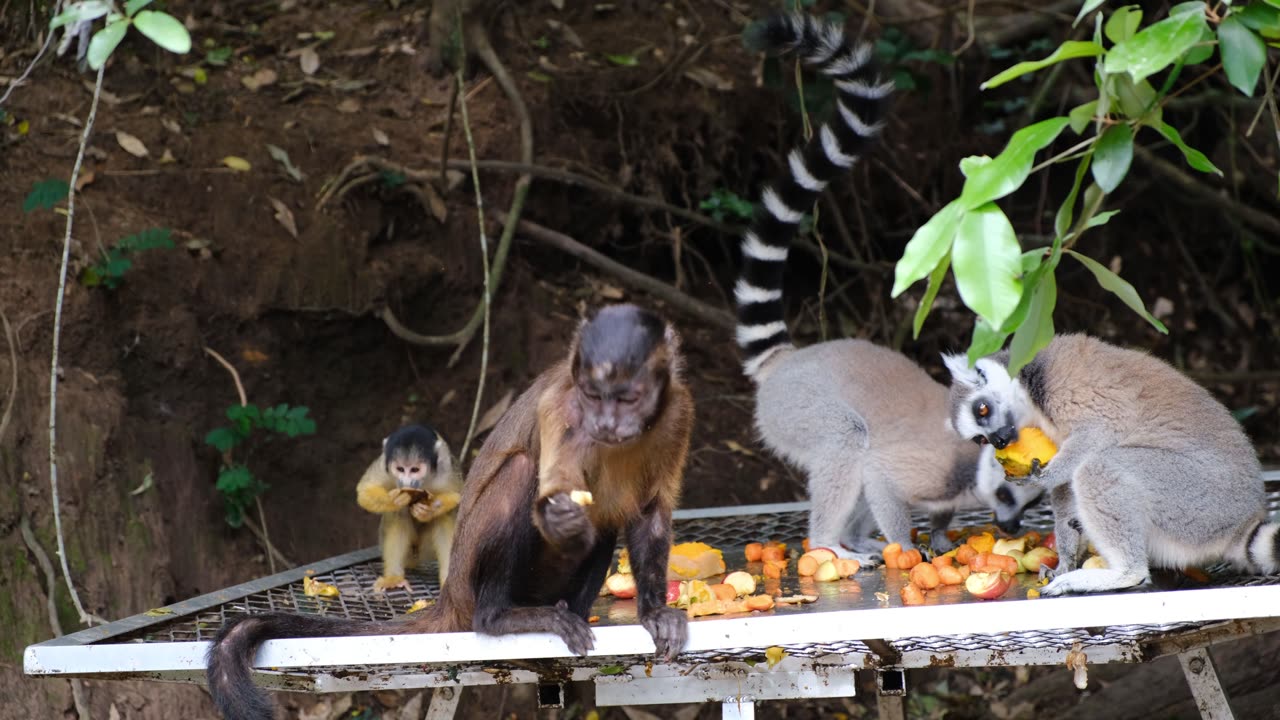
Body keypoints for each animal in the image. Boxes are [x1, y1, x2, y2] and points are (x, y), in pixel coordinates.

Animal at [355, 420, 460, 589]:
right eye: (400, 469)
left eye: (415, 470)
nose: (406, 482)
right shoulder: (383, 464)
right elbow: (364, 491)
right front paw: (394, 500)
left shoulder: (446, 467)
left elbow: (458, 496)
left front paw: (428, 511)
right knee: (399, 513)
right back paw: (394, 577)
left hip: (427, 550)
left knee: (445, 517)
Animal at [732, 11, 1039, 561]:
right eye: (981, 412)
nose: (1009, 527)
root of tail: (786, 361)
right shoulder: (926, 465)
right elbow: (880, 476)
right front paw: (906, 546)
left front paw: (937, 536)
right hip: (796, 412)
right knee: (848, 442)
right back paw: (832, 545)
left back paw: (854, 538)